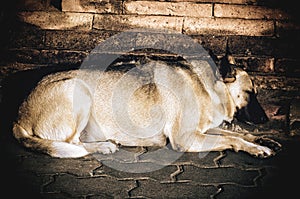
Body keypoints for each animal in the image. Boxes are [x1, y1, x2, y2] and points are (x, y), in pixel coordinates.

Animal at [11, 51, 280, 159]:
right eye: (250, 93)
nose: (265, 120)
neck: (205, 85)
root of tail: (19, 116)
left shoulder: (202, 130)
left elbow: (237, 133)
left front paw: (263, 139)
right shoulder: (188, 139)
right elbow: (232, 139)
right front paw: (257, 148)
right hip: (79, 91)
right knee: (73, 144)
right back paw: (104, 146)